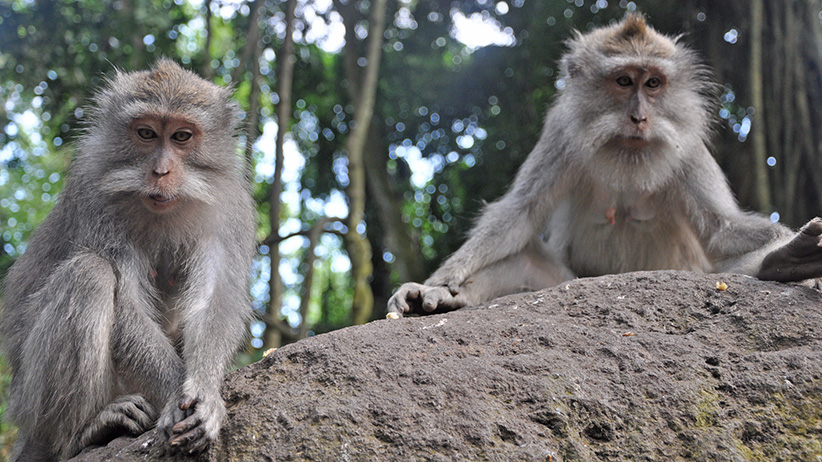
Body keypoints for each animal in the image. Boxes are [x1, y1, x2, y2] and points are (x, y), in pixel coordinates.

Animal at [1, 59, 256, 460]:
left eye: (182, 136)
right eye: (147, 133)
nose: (160, 171)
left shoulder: (230, 206)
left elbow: (214, 299)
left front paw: (203, 392)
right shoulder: (94, 196)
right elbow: (126, 303)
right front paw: (174, 395)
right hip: (29, 400)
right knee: (88, 273)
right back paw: (82, 432)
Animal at [390, 15, 822, 318]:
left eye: (653, 84)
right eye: (624, 81)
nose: (639, 118)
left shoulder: (688, 149)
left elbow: (723, 228)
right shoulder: (560, 133)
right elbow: (520, 212)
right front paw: (439, 281)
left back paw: (781, 262)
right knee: (522, 259)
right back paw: (447, 298)